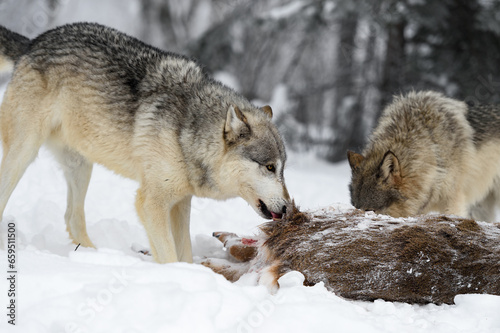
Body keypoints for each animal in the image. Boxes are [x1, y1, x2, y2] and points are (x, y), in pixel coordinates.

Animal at [0, 22, 290, 264]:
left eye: (283, 169)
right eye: (269, 167)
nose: (288, 209)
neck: (185, 132)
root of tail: (34, 42)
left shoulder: (180, 202)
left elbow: (185, 253)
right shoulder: (151, 203)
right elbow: (170, 256)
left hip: (81, 165)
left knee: (72, 218)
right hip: (24, 154)